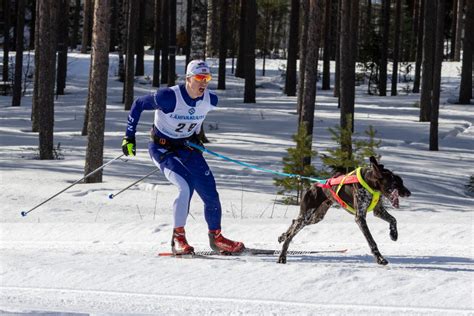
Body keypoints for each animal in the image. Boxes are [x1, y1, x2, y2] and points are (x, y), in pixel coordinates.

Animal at [278, 157, 412, 266]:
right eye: (395, 183)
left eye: (401, 181)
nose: (409, 193)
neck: (370, 184)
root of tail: (313, 186)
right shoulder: (360, 218)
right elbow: (371, 241)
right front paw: (380, 259)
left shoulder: (378, 211)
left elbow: (393, 219)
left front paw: (393, 234)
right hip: (307, 215)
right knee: (291, 234)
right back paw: (282, 256)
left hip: (316, 217)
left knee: (294, 222)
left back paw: (282, 236)